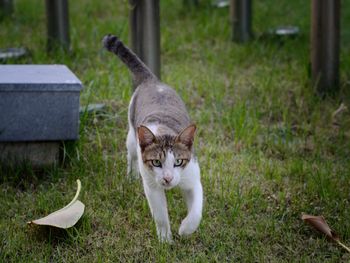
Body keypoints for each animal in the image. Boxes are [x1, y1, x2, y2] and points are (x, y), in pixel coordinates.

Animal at [102, 34, 202, 243]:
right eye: (156, 162)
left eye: (178, 161)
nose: (167, 178)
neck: (163, 129)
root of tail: (153, 80)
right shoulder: (152, 185)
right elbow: (161, 215)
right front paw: (165, 240)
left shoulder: (192, 176)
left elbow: (197, 208)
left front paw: (186, 228)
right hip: (132, 136)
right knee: (131, 155)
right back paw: (131, 177)